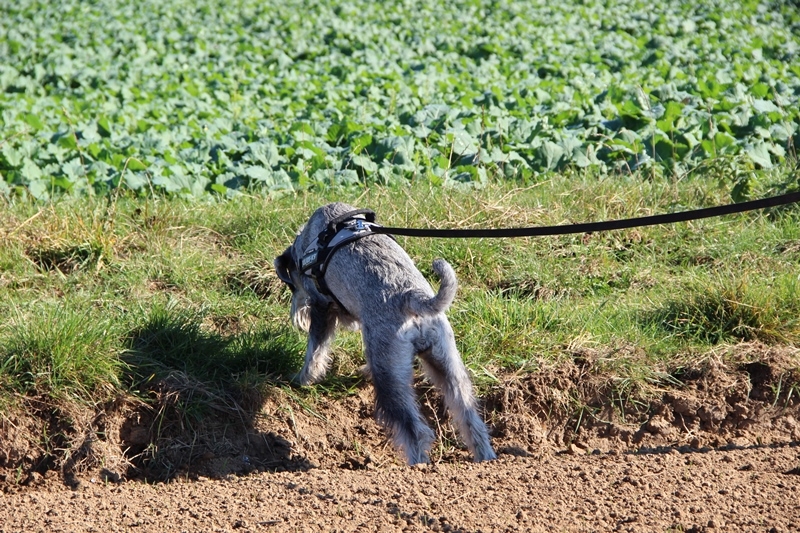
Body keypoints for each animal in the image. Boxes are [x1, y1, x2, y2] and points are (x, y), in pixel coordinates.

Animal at [278, 202, 496, 464]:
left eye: (292, 285)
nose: (296, 317)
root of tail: (411, 297)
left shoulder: (322, 307)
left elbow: (315, 351)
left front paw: (302, 380)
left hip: (388, 374)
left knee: (413, 429)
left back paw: (417, 464)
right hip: (446, 362)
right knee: (469, 416)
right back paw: (485, 456)